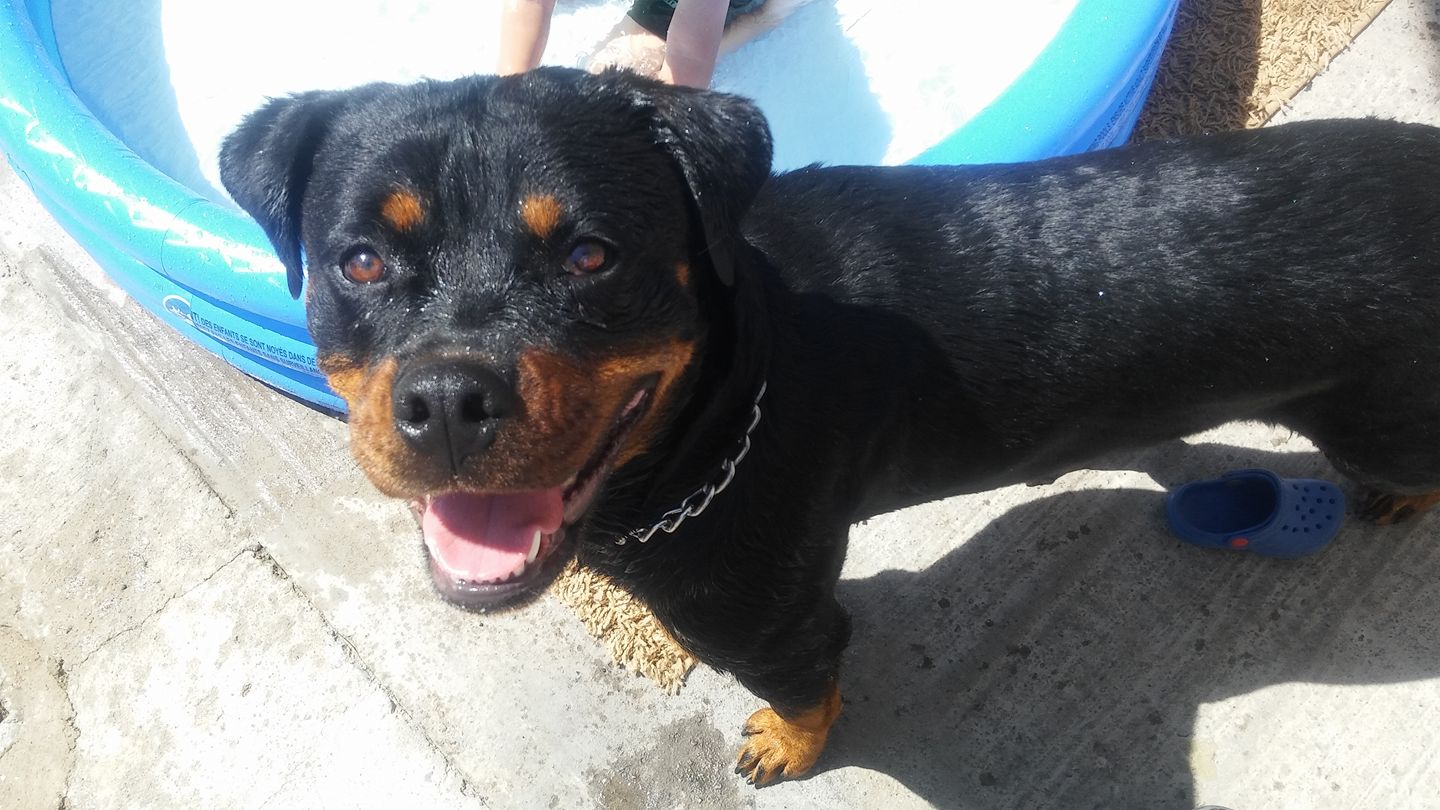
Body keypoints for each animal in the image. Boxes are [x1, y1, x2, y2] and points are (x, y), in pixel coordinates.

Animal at [218, 69, 1440, 784]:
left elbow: (805, 688)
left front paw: (789, 746)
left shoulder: (777, 624)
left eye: (590, 256)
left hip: (1382, 417)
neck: (720, 402)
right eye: (358, 261)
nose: (446, 402)